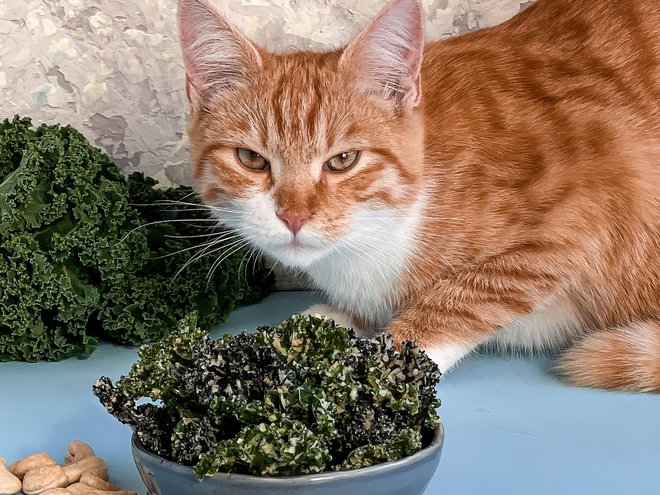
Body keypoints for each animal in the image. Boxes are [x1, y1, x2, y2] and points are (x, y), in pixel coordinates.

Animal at [177, 0, 660, 394]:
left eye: (343, 160)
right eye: (251, 159)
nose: (293, 216)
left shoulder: (583, 217)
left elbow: (460, 299)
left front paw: (383, 365)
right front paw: (318, 325)